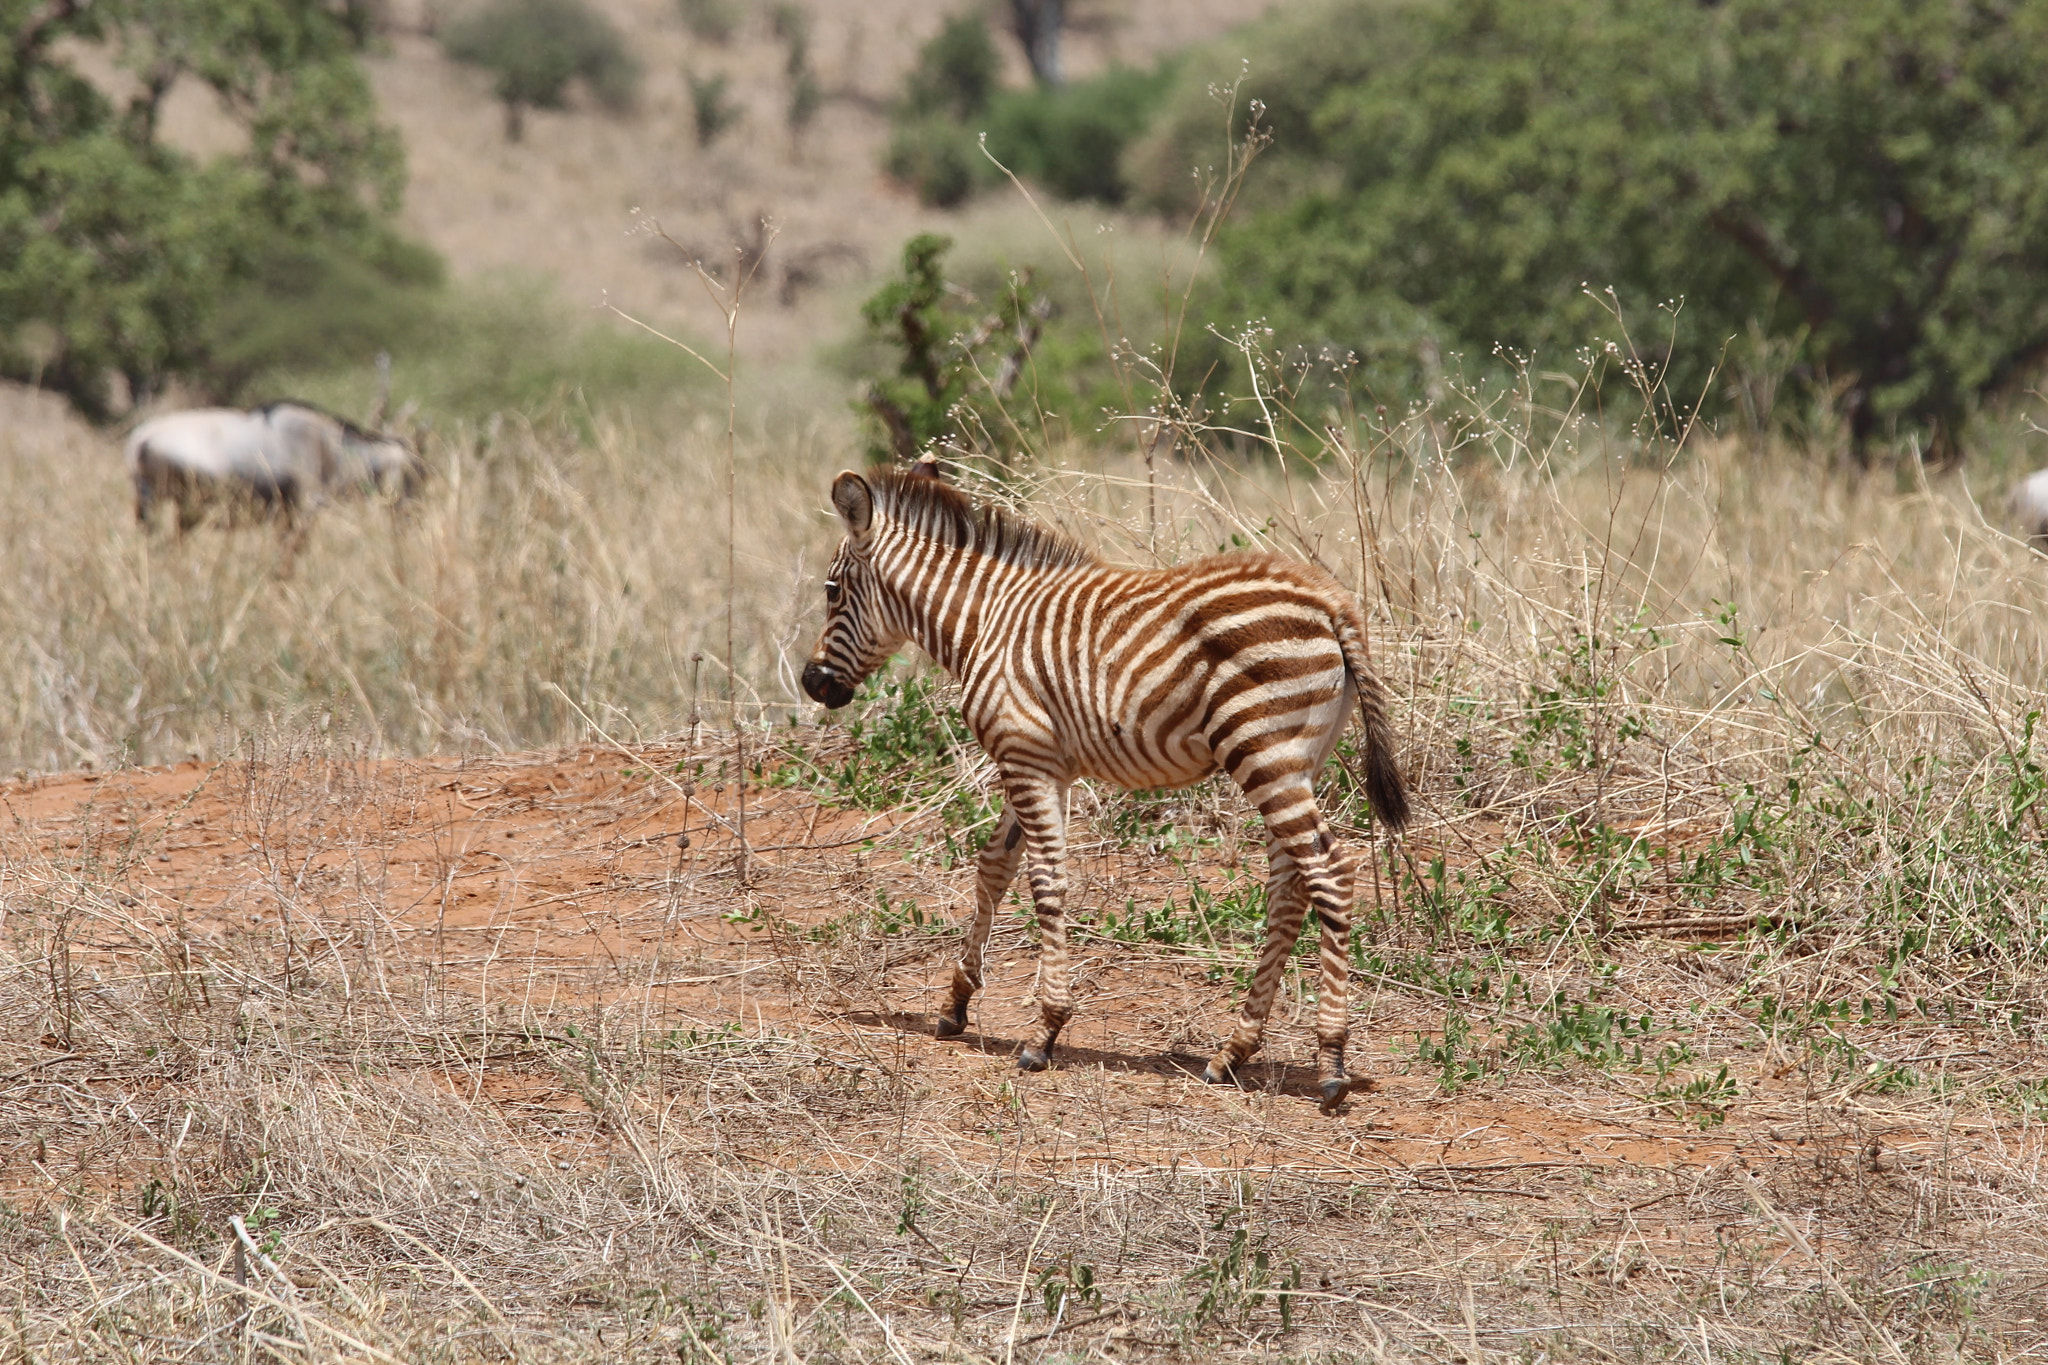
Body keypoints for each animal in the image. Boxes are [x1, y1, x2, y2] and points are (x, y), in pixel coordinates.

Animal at [802, 464, 1409, 1113]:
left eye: (832, 592)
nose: (812, 683)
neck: (986, 620)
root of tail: (1330, 599)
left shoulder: (1025, 756)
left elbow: (1044, 882)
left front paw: (1045, 1031)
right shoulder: (1041, 762)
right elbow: (994, 866)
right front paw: (956, 1004)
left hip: (1263, 751)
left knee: (1329, 875)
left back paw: (1332, 1063)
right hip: (1299, 761)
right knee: (1289, 890)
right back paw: (1233, 1052)